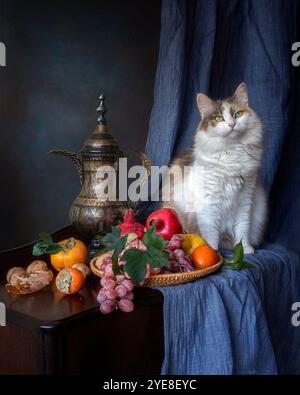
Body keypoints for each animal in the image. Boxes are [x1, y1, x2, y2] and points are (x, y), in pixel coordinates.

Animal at [164, 83, 268, 254]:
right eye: (218, 118)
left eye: (238, 114)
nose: (232, 124)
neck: (232, 152)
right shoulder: (209, 201)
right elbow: (211, 231)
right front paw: (212, 251)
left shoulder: (245, 200)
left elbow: (242, 228)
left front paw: (244, 248)